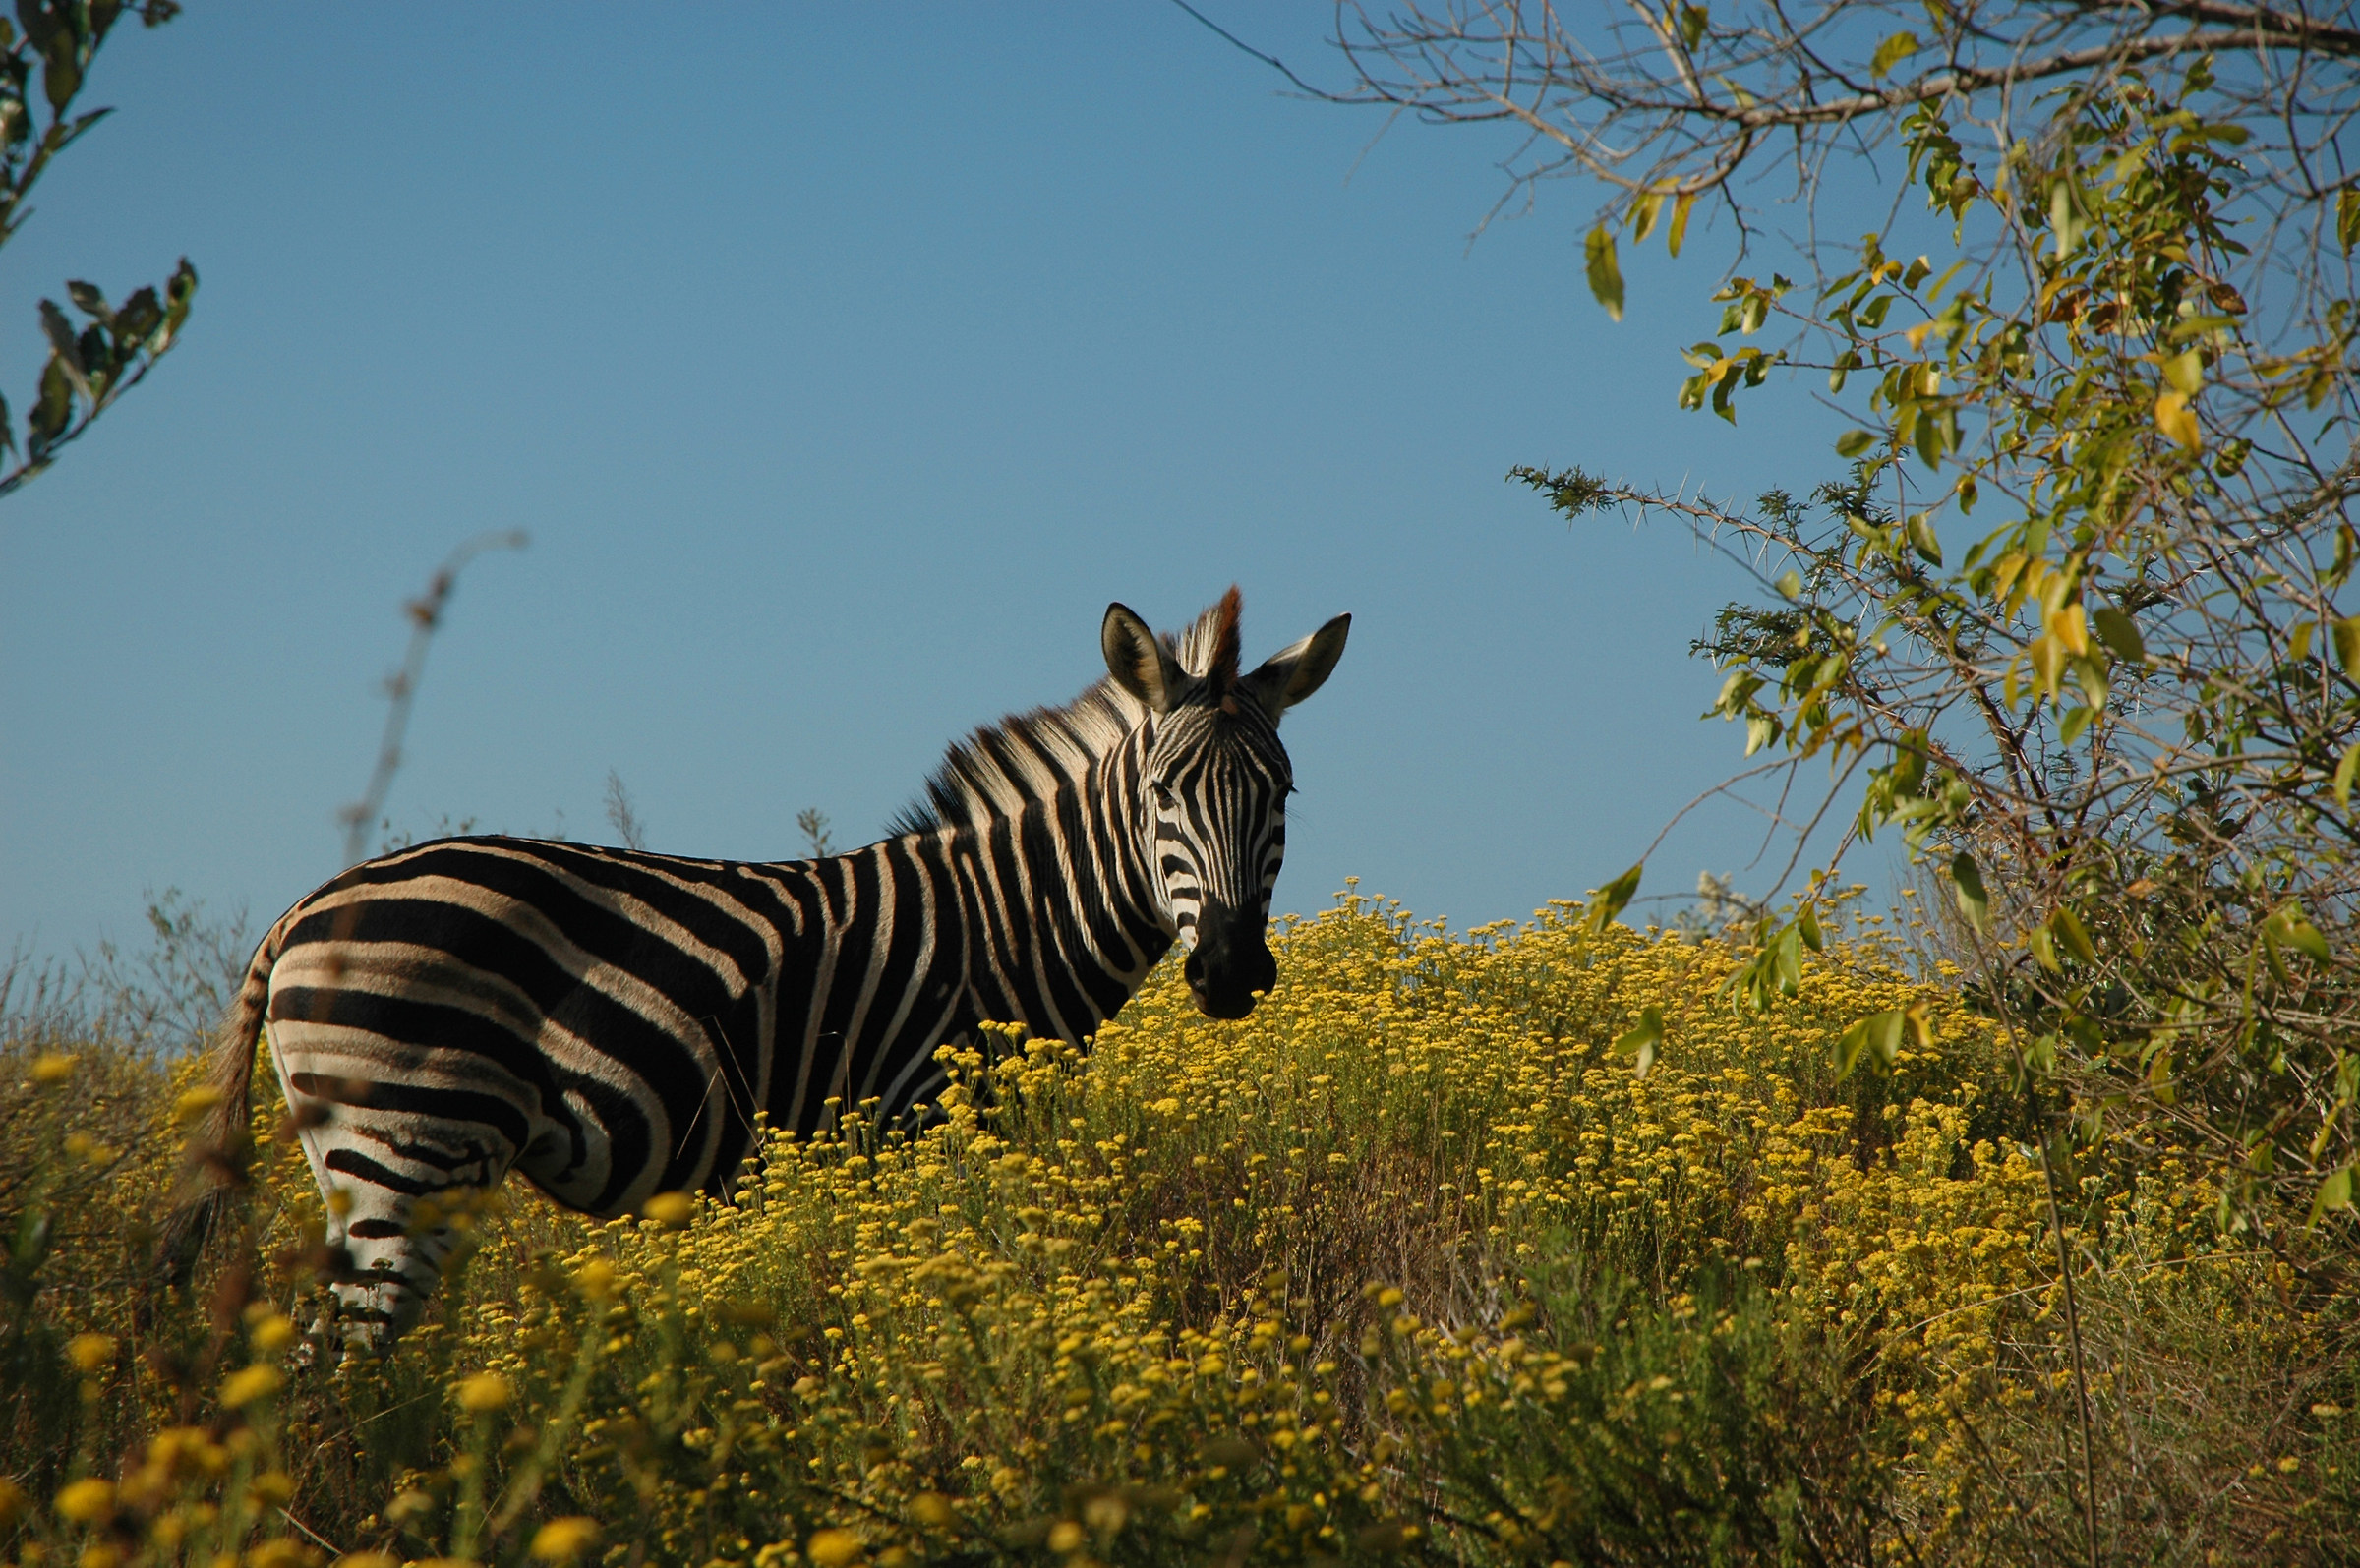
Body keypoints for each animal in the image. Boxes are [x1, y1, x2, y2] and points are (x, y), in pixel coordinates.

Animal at [163, 588, 1349, 1350]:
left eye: (1283, 792)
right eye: (1164, 793)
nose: (1232, 971)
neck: (1010, 918)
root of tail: (301, 908)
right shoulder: (919, 1127)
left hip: (384, 1161)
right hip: (402, 1145)